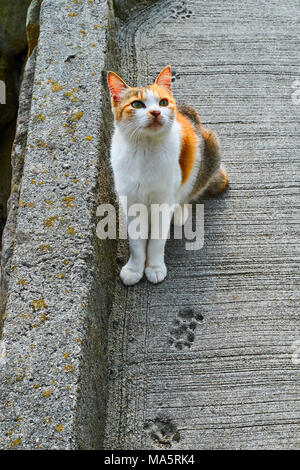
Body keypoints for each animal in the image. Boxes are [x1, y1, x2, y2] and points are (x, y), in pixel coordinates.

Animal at [108, 65, 227, 286]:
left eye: (163, 102)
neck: (145, 151)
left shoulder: (162, 203)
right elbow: (136, 243)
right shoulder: (131, 202)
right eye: (136, 104)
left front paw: (154, 267)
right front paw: (135, 268)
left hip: (209, 148)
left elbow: (156, 240)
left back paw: (179, 211)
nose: (155, 112)